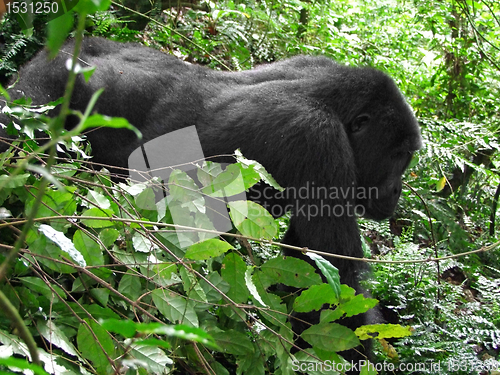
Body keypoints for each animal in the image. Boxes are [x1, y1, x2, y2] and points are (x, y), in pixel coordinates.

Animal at [0, 38, 422, 358]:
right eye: (401, 155)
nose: (397, 191)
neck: (333, 99)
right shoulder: (317, 139)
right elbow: (336, 283)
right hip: (37, 98)